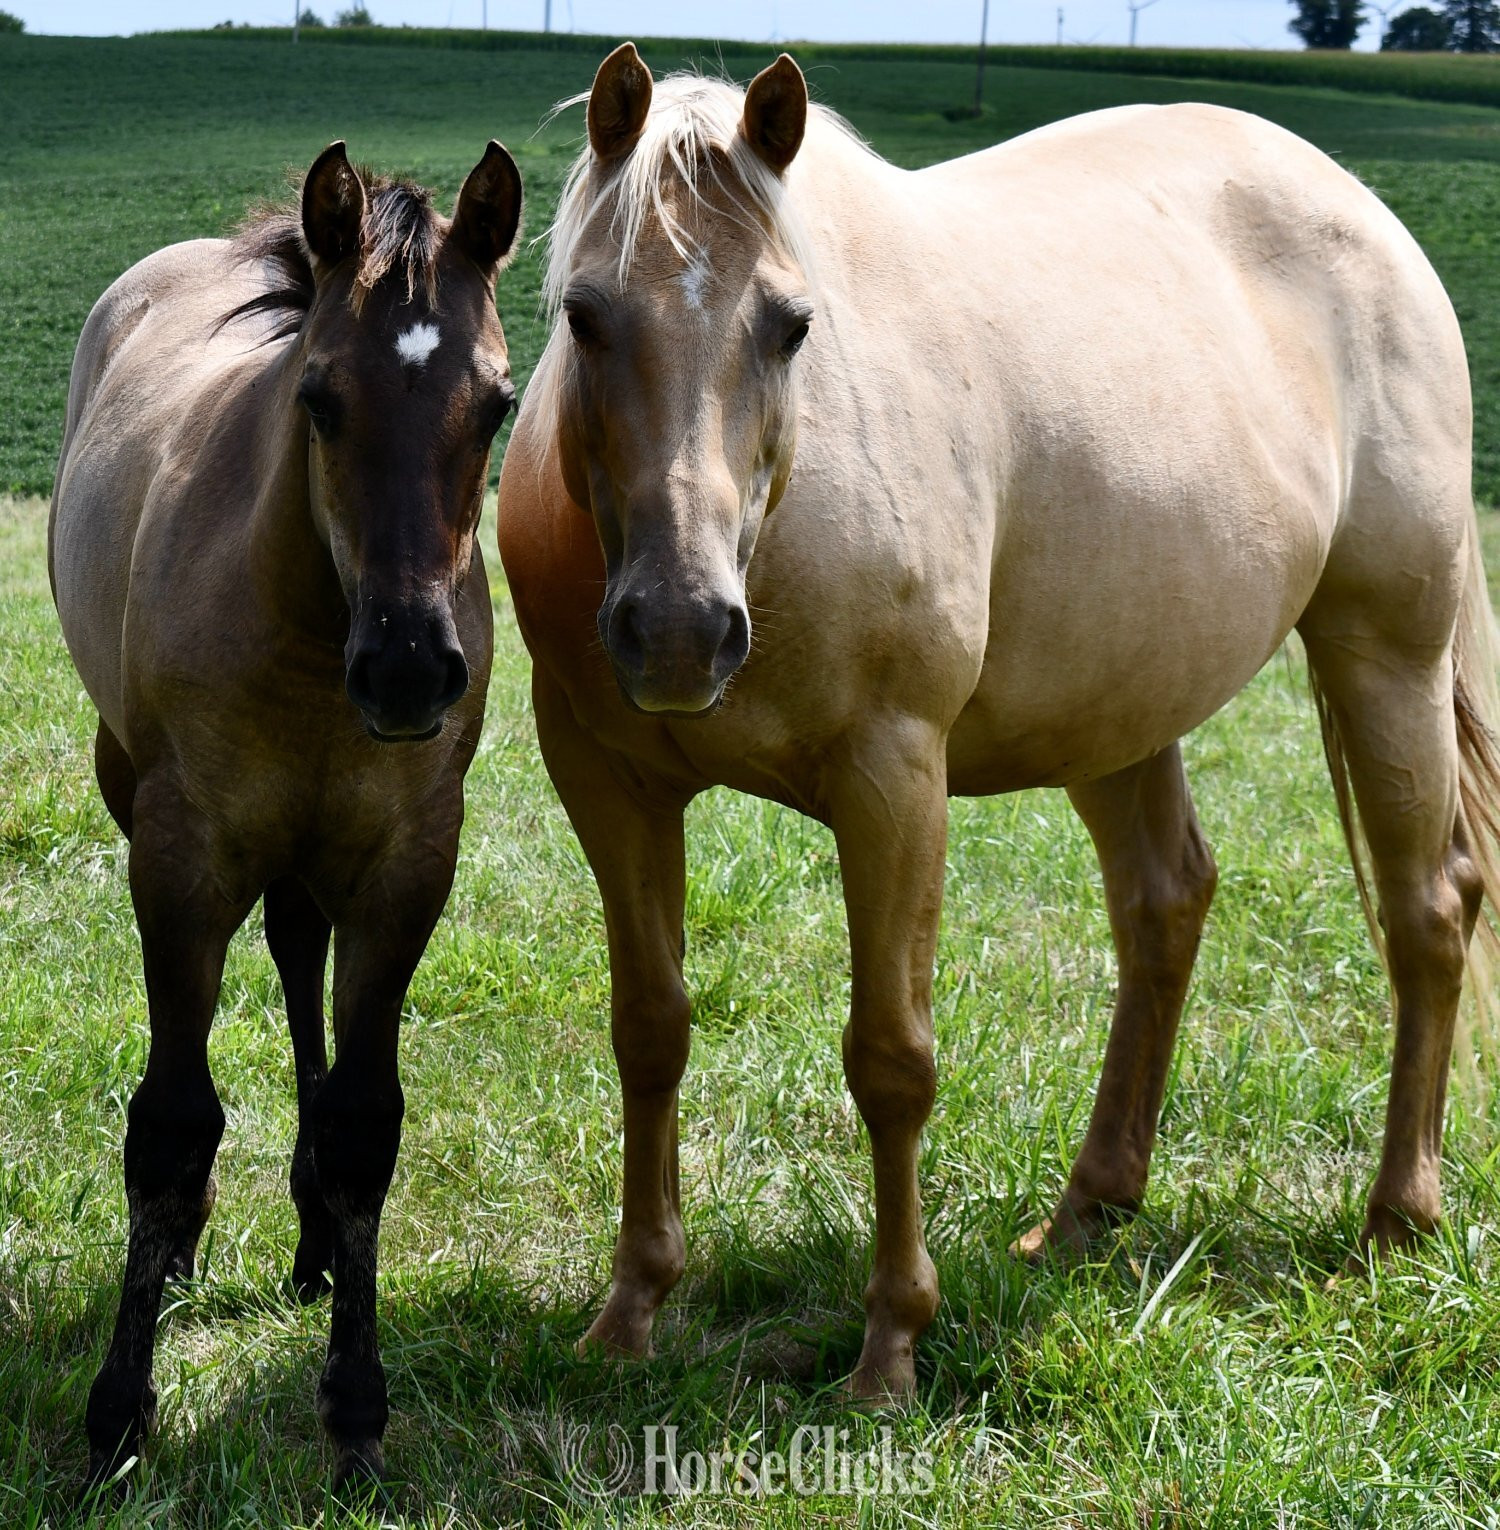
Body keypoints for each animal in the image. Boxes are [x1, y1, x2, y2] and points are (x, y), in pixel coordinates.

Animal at [50, 138, 521, 1488]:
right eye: (319, 399)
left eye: (498, 405)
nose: (410, 669)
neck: (317, 629)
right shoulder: (182, 858)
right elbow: (168, 1123)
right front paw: (118, 1413)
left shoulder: (407, 865)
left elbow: (365, 1121)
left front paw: (356, 1411)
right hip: (135, 785)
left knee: (299, 951)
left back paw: (312, 1237)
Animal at [496, 43, 1500, 1402]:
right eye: (584, 314)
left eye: (792, 325)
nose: (680, 629)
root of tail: (1368, 216)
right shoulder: (608, 779)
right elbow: (649, 1031)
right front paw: (631, 1312)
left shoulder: (892, 779)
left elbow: (891, 1059)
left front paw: (890, 1349)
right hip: (1122, 698)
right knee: (1165, 904)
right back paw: (1089, 1211)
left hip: (1383, 649)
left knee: (1427, 911)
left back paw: (1397, 1218)